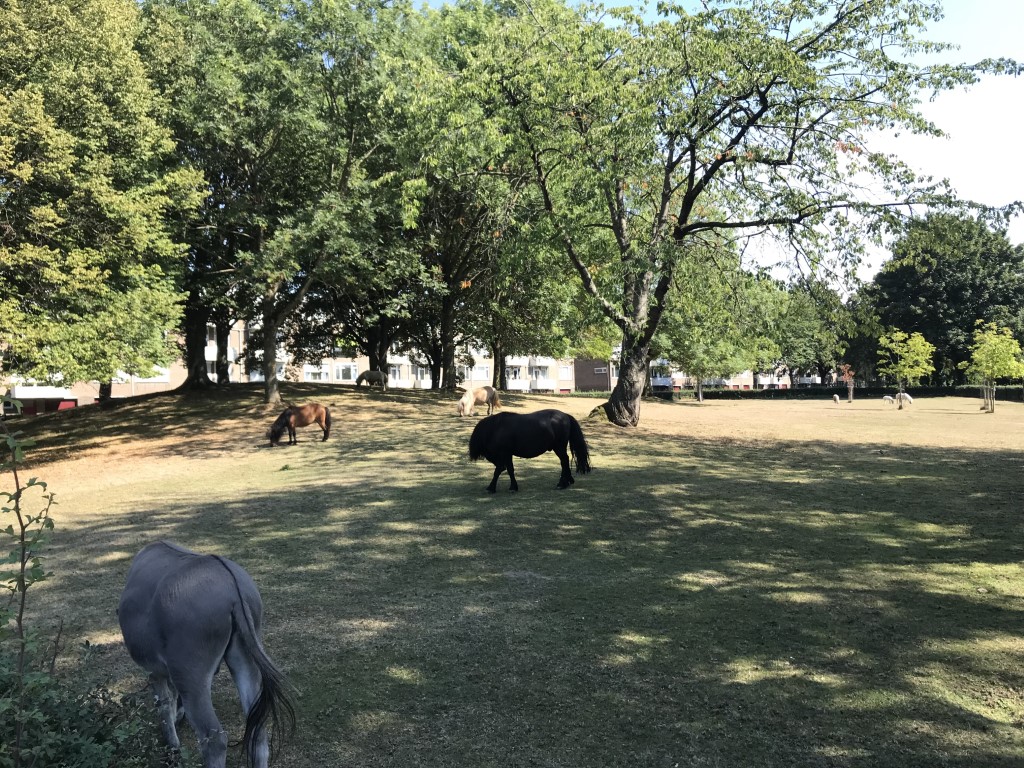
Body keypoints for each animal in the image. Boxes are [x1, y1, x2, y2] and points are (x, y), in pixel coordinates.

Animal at [120, 540, 296, 768]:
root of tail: (231, 584)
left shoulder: (156, 672)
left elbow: (163, 704)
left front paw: (172, 746)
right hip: (245, 658)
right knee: (257, 727)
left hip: (191, 675)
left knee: (214, 739)